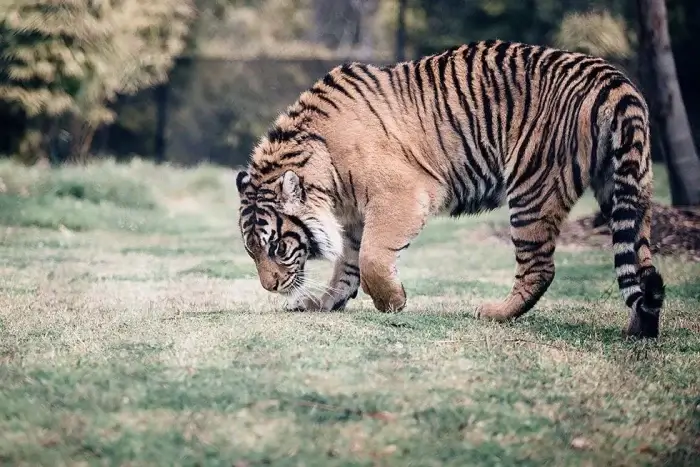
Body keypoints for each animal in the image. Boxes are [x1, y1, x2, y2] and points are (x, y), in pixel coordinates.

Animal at [237, 39, 668, 340]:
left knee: (540, 267)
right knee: (639, 261)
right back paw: (639, 327)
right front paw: (324, 302)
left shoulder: (401, 195)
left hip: (532, 188)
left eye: (278, 246)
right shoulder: (354, 215)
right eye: (251, 251)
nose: (269, 287)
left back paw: (495, 313)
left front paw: (392, 302)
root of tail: (613, 80)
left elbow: (371, 257)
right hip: (627, 186)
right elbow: (347, 263)